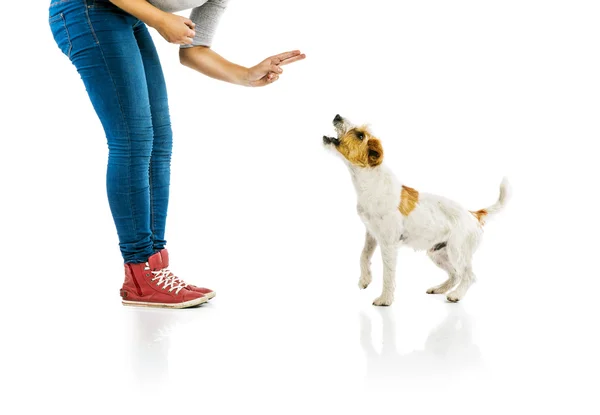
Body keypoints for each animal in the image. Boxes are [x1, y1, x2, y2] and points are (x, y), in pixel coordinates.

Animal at [324, 114, 510, 306]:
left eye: (360, 135)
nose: (337, 116)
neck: (371, 181)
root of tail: (474, 214)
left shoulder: (388, 244)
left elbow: (388, 274)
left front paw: (385, 299)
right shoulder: (371, 235)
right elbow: (363, 256)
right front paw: (364, 280)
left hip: (457, 251)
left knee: (468, 275)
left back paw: (456, 295)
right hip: (437, 253)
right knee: (454, 274)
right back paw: (439, 289)